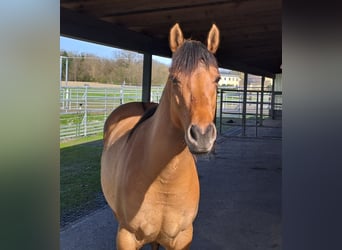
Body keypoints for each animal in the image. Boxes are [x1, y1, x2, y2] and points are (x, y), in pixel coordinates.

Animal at [100, 22, 220, 249]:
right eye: (174, 79)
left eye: (217, 79)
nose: (201, 135)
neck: (165, 180)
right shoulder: (126, 236)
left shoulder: (183, 237)